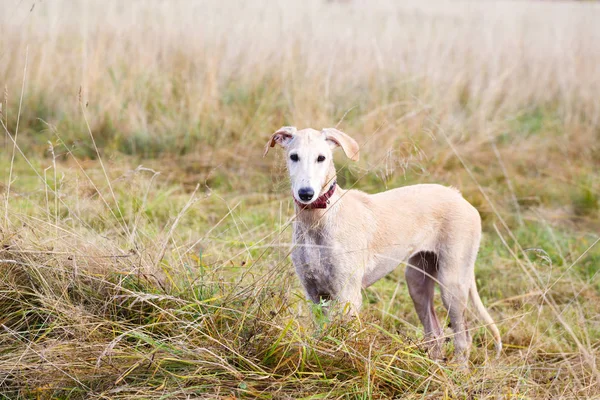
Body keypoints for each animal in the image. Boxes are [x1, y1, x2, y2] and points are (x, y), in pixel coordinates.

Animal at [262, 127, 502, 362]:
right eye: (294, 156)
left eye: (321, 158)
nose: (306, 194)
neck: (321, 216)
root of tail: (458, 195)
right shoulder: (314, 294)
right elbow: (321, 335)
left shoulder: (348, 295)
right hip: (417, 282)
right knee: (436, 334)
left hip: (452, 284)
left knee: (463, 339)